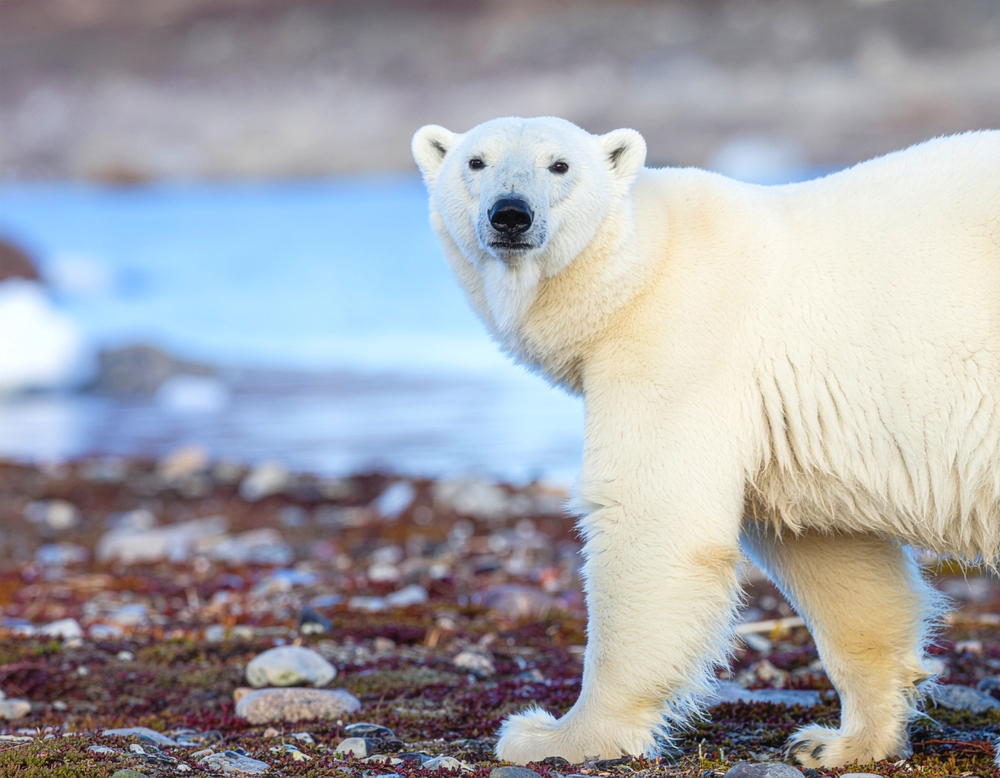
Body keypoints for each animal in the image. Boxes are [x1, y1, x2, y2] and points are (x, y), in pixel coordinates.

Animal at [411, 115, 1000, 769]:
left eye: (559, 165)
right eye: (476, 162)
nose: (511, 215)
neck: (643, 265)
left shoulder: (679, 344)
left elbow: (654, 518)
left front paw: (555, 736)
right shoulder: (782, 422)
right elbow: (833, 558)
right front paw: (839, 742)